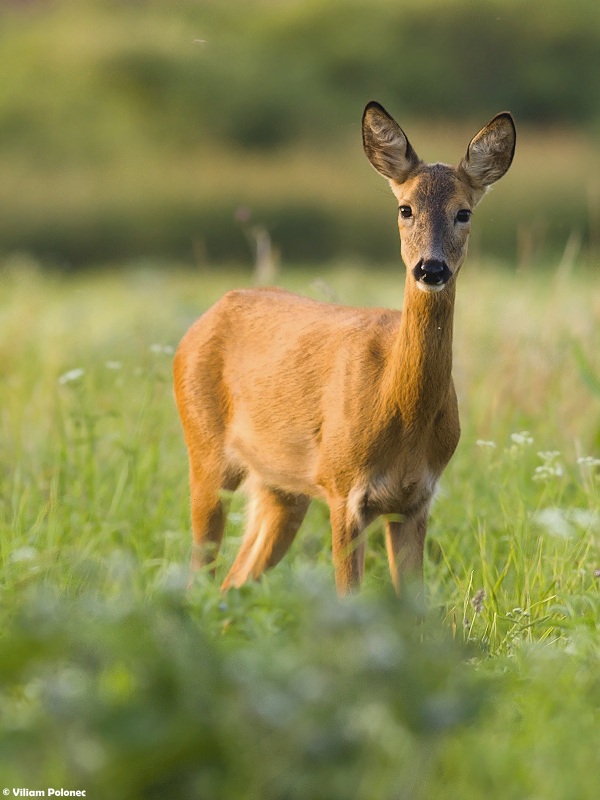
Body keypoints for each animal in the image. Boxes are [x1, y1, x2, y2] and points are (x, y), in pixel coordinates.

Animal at [175, 100, 516, 596]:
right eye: (405, 208)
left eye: (464, 212)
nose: (430, 268)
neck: (398, 409)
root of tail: (202, 321)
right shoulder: (343, 489)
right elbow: (347, 595)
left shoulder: (416, 500)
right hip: (204, 452)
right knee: (198, 575)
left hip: (280, 488)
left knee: (233, 581)